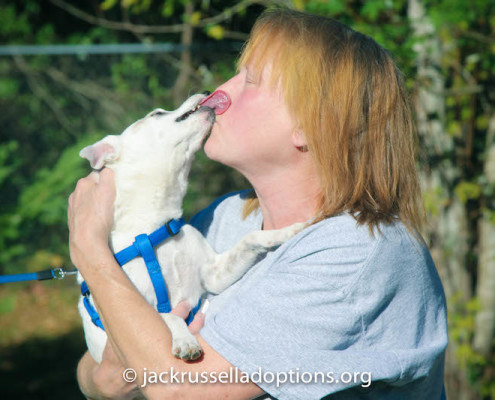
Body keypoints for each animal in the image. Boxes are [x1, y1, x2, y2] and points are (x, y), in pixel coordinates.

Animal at [77, 93, 302, 362]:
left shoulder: (214, 274)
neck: (158, 229)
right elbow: (169, 316)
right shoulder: (142, 305)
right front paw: (185, 341)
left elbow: (251, 238)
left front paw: (284, 232)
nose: (204, 91)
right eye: (156, 114)